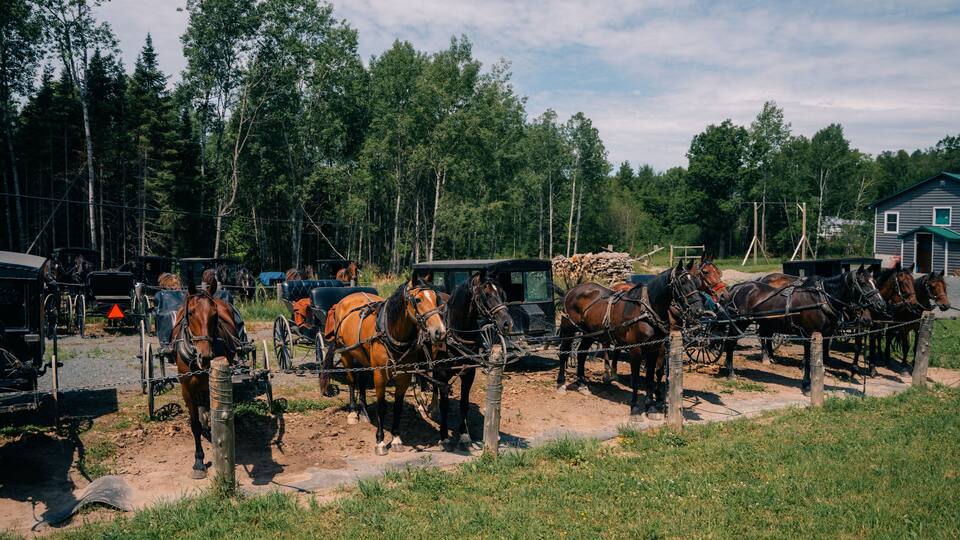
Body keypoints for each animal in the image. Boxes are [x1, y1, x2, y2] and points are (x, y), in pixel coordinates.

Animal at [171, 279, 243, 479]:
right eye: (190, 313)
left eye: (215, 314)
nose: (206, 356)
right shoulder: (186, 389)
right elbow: (194, 424)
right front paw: (199, 461)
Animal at [321, 276, 446, 455]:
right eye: (418, 300)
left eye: (436, 299)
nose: (440, 332)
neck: (390, 332)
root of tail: (346, 298)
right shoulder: (380, 375)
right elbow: (381, 407)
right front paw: (380, 442)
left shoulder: (404, 376)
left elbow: (398, 407)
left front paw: (396, 438)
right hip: (346, 354)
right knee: (352, 381)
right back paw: (353, 412)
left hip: (362, 358)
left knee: (361, 380)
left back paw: (364, 410)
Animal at [430, 271, 513, 448]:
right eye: (486, 294)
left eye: (502, 293)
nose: (507, 323)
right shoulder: (442, 373)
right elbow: (444, 404)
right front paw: (444, 435)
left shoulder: (468, 373)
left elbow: (464, 403)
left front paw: (463, 435)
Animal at [557, 261, 704, 414]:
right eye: (682, 282)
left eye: (697, 282)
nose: (699, 311)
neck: (647, 311)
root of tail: (572, 291)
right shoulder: (636, 349)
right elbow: (635, 378)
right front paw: (635, 406)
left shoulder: (654, 348)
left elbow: (650, 377)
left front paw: (650, 405)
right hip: (568, 329)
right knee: (563, 352)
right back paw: (561, 383)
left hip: (590, 333)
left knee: (581, 355)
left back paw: (582, 385)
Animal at [721, 266, 886, 393]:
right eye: (863, 283)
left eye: (875, 282)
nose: (881, 305)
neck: (821, 300)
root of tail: (737, 287)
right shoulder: (808, 334)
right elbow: (807, 360)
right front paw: (807, 385)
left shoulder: (824, 335)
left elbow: (820, 359)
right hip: (739, 324)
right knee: (730, 344)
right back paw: (731, 373)